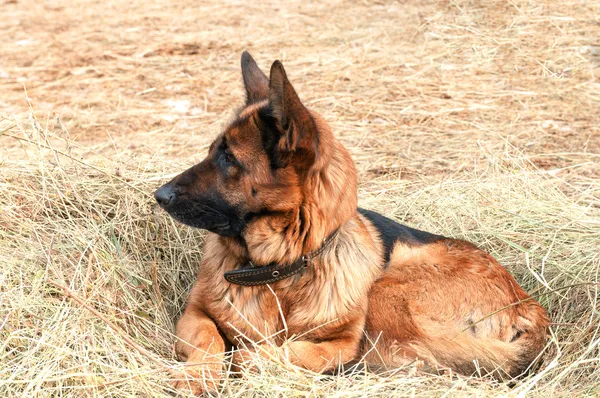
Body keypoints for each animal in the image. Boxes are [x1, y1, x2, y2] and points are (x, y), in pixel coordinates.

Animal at [155, 51, 548, 394]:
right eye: (211, 151)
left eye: (228, 159)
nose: (159, 194)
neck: (278, 273)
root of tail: (528, 305)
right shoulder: (194, 315)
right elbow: (209, 340)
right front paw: (196, 376)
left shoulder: (343, 341)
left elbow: (295, 352)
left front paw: (256, 358)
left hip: (388, 289)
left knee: (418, 358)